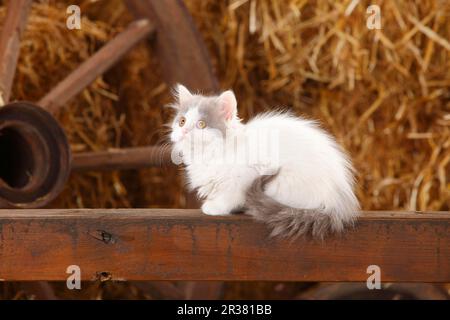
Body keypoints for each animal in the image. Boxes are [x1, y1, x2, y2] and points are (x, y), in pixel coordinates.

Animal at [168, 84, 358, 239]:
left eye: (201, 124)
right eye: (182, 121)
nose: (184, 131)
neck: (210, 152)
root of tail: (338, 204)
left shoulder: (244, 177)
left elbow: (230, 195)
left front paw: (215, 207)